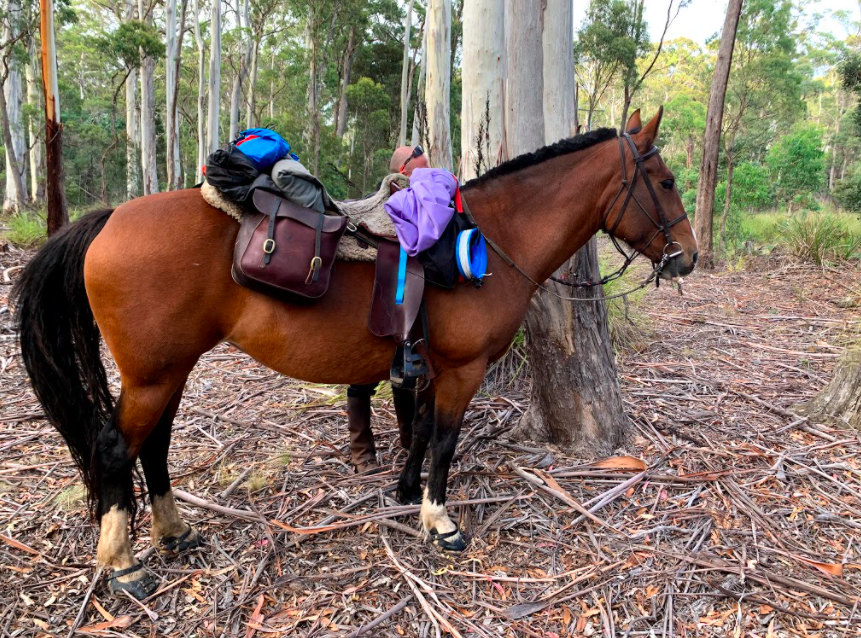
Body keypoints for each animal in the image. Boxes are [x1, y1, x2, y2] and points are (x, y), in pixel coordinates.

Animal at [13, 110, 696, 600]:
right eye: (664, 183)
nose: (688, 256)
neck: (490, 239)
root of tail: (108, 220)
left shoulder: (430, 367)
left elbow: (420, 429)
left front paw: (404, 491)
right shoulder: (463, 371)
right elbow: (444, 440)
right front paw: (440, 522)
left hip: (169, 371)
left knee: (153, 446)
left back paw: (176, 533)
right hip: (153, 375)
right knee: (115, 449)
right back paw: (124, 563)